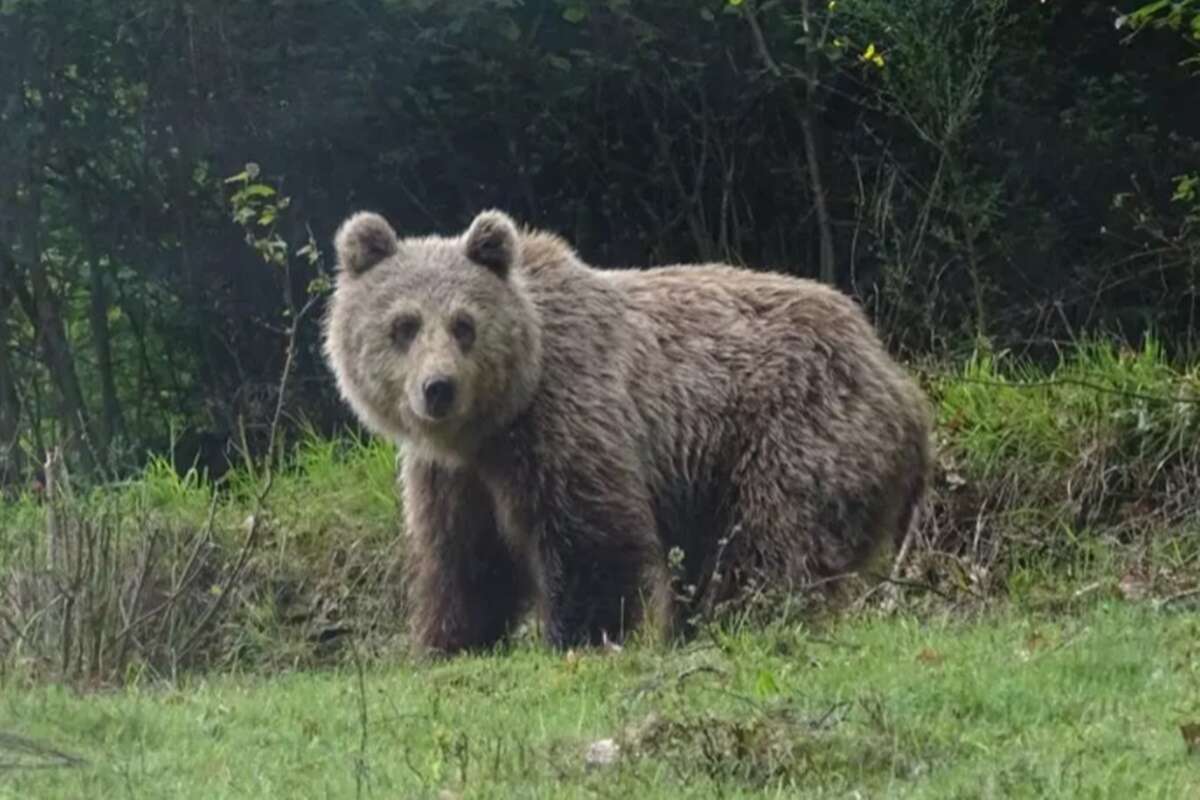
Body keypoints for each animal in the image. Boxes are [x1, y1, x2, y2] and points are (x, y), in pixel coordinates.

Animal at [324, 209, 931, 652]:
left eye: (463, 324)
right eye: (403, 324)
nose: (438, 388)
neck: (492, 426)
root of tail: (893, 372)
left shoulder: (567, 418)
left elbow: (592, 539)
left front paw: (579, 635)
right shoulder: (453, 476)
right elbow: (464, 559)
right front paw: (450, 641)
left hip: (793, 428)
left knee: (774, 541)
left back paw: (747, 618)